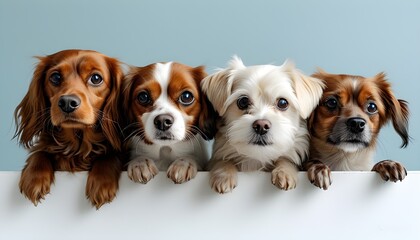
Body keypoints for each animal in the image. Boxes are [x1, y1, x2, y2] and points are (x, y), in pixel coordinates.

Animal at [13, 49, 124, 209]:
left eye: (96, 78)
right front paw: (34, 178)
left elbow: (110, 156)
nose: (67, 102)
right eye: (55, 77)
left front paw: (102, 182)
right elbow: (40, 152)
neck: (77, 145)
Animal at [200, 56, 324, 193]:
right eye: (243, 101)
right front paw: (224, 175)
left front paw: (285, 172)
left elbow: (285, 159)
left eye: (282, 102)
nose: (261, 126)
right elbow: (221, 160)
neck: (256, 160)